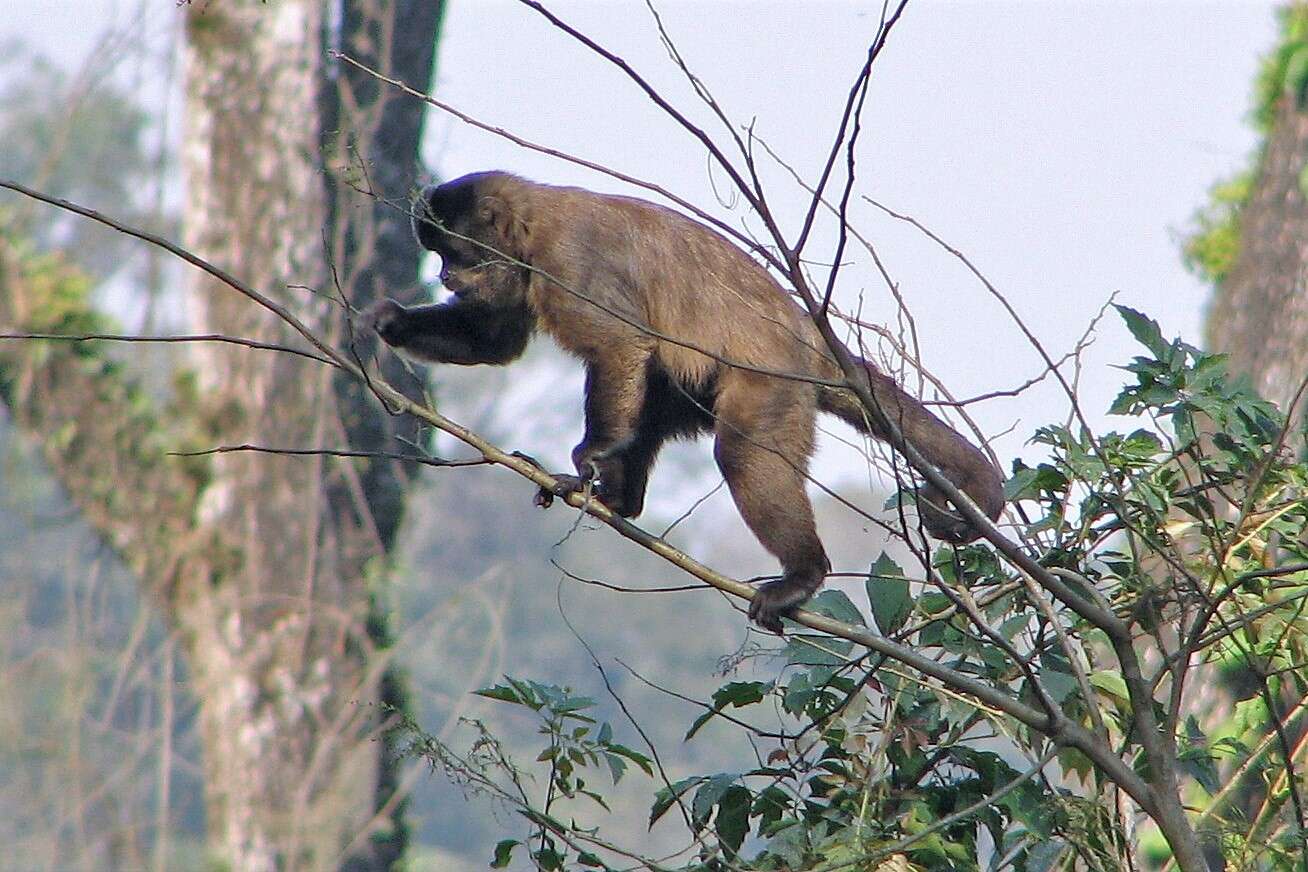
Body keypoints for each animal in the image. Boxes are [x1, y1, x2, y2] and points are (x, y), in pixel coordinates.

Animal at [363, 172, 1004, 635]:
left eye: (454, 254)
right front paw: (389, 323)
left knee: (741, 450)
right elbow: (497, 341)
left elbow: (620, 343)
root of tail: (809, 334)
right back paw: (621, 498)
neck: (531, 226)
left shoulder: (569, 264)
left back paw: (802, 574)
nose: (445, 276)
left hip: (772, 381)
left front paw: (591, 453)